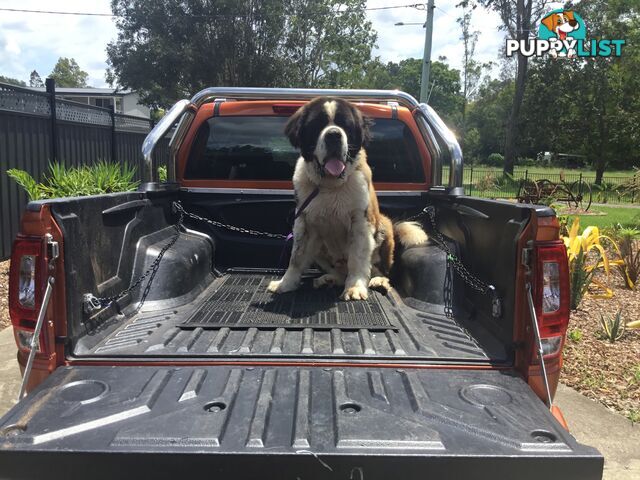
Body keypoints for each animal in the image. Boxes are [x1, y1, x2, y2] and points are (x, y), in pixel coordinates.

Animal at [268, 97, 428, 300]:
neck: (330, 186)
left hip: (383, 225)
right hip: (320, 249)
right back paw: (329, 279)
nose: (334, 135)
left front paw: (355, 287)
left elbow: (357, 259)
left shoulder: (361, 222)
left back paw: (378, 280)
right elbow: (296, 258)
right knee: (339, 271)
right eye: (317, 125)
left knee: (379, 270)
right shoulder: (304, 224)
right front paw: (285, 284)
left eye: (345, 125)